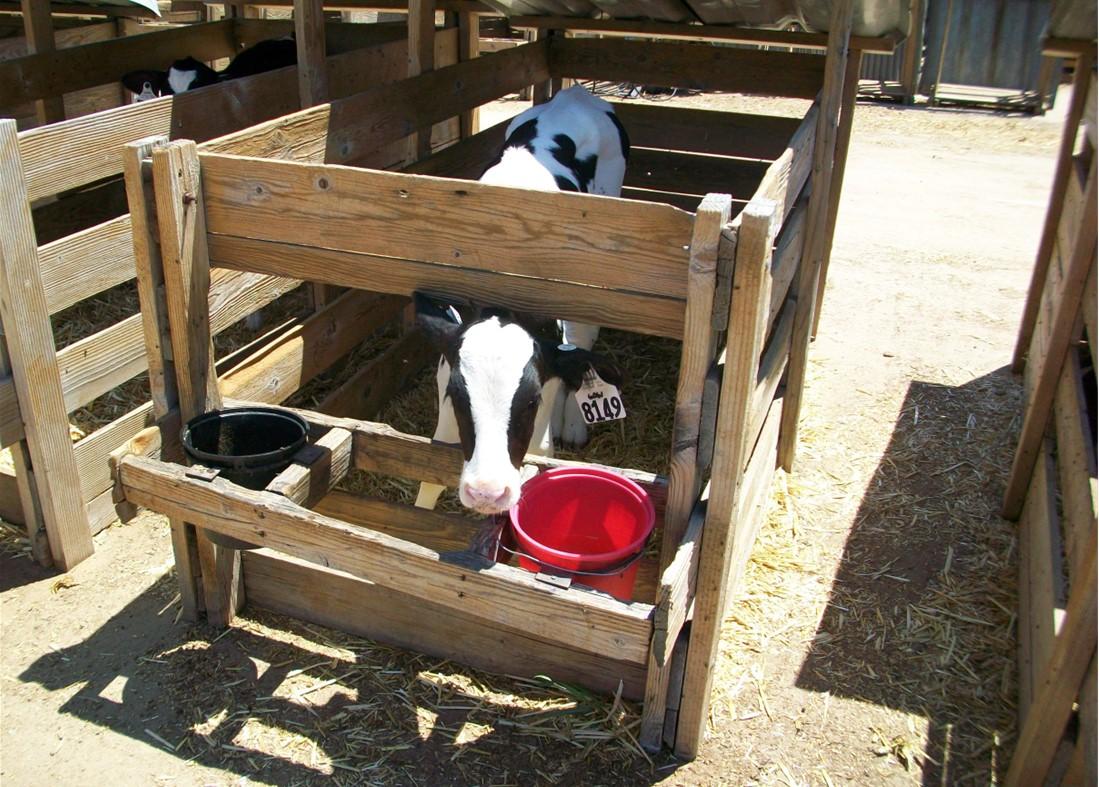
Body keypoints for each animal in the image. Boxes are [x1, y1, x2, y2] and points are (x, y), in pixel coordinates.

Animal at [413, 85, 630, 515]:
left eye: (530, 402)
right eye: (458, 397)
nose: (486, 492)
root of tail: (576, 93)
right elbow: (428, 475)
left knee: (583, 341)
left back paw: (574, 424)